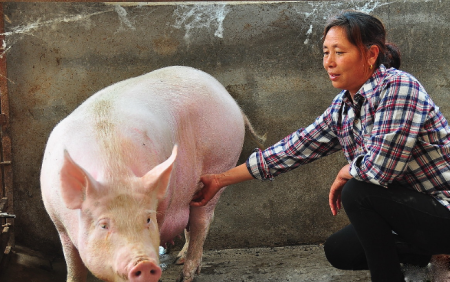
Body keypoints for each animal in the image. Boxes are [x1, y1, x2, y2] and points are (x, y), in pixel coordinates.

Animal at [40, 66, 262, 282]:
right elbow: (74, 267)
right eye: (103, 225)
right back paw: (179, 258)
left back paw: (185, 275)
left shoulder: (162, 205)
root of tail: (229, 98)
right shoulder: (59, 224)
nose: (144, 265)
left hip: (220, 161)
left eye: (147, 220)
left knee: (202, 220)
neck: (114, 172)